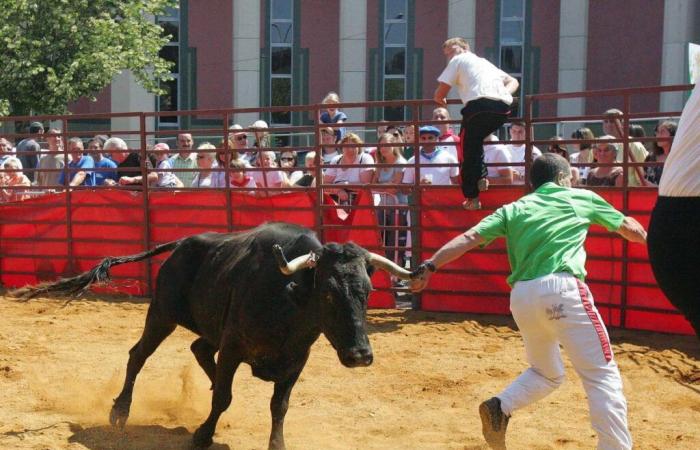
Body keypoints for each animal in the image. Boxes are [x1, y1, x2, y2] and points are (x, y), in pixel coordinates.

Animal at [10, 223, 412, 448]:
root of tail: (182, 244)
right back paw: (120, 411)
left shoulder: (297, 360)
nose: (360, 355)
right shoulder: (233, 346)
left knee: (199, 348)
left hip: (204, 327)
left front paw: (277, 444)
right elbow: (223, 397)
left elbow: (278, 406)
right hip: (162, 314)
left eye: (367, 291)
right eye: (328, 292)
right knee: (138, 355)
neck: (288, 298)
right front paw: (203, 434)